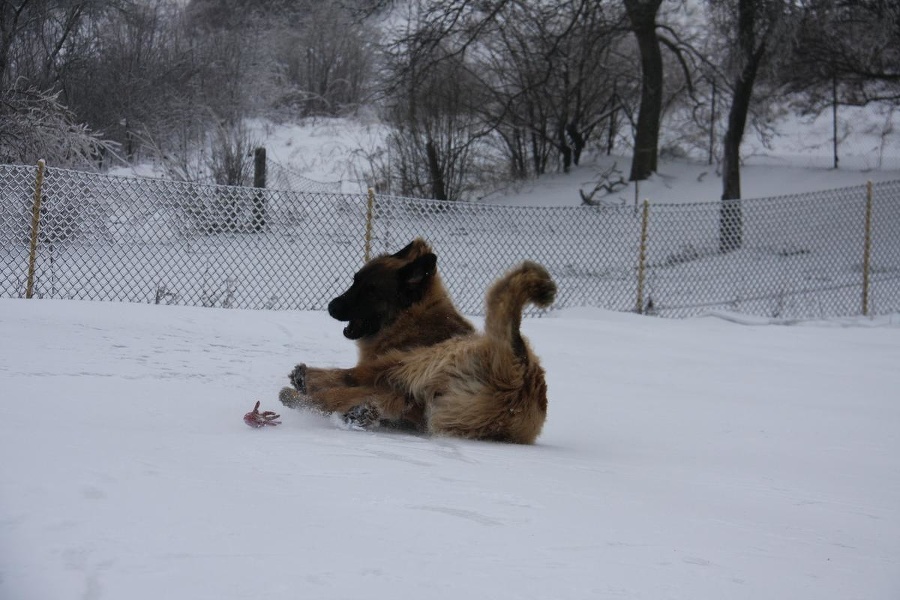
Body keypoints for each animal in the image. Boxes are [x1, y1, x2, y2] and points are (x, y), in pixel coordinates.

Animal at [278, 238, 556, 440]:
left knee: (344, 383)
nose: (331, 306)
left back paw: (303, 389)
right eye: (355, 281)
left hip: (412, 363)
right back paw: (360, 413)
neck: (412, 318)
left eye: (370, 290)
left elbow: (348, 378)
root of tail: (515, 372)